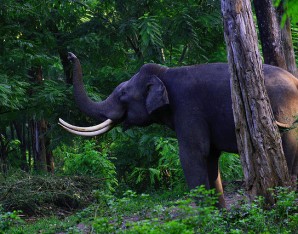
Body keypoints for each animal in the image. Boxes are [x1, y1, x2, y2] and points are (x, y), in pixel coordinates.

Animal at [58, 52, 298, 207]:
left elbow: (192, 155)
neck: (164, 74)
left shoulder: (188, 108)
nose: (70, 55)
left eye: (123, 95)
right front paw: (219, 214)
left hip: (284, 113)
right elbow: (210, 157)